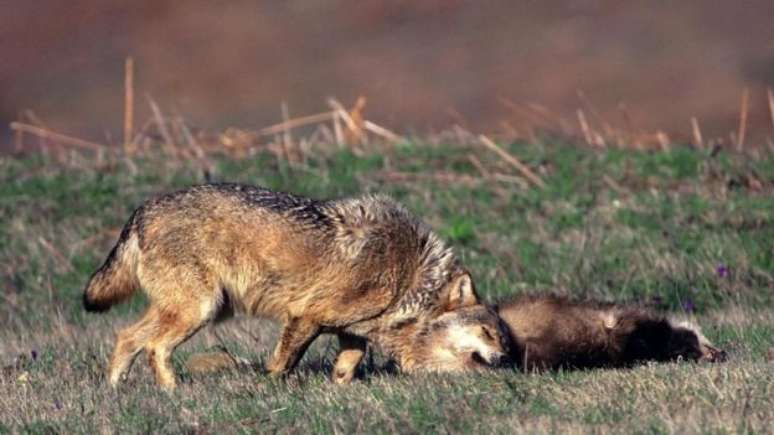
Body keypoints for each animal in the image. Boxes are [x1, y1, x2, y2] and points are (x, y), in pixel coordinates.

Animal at [83, 183, 510, 388]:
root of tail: (141, 211)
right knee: (153, 345)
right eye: (487, 332)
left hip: (194, 309)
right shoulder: (306, 316)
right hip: (200, 310)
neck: (408, 276)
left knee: (126, 336)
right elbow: (284, 363)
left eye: (502, 337)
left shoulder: (349, 331)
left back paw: (116, 389)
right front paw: (270, 387)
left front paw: (339, 390)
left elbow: (348, 364)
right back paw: (172, 390)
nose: (507, 359)